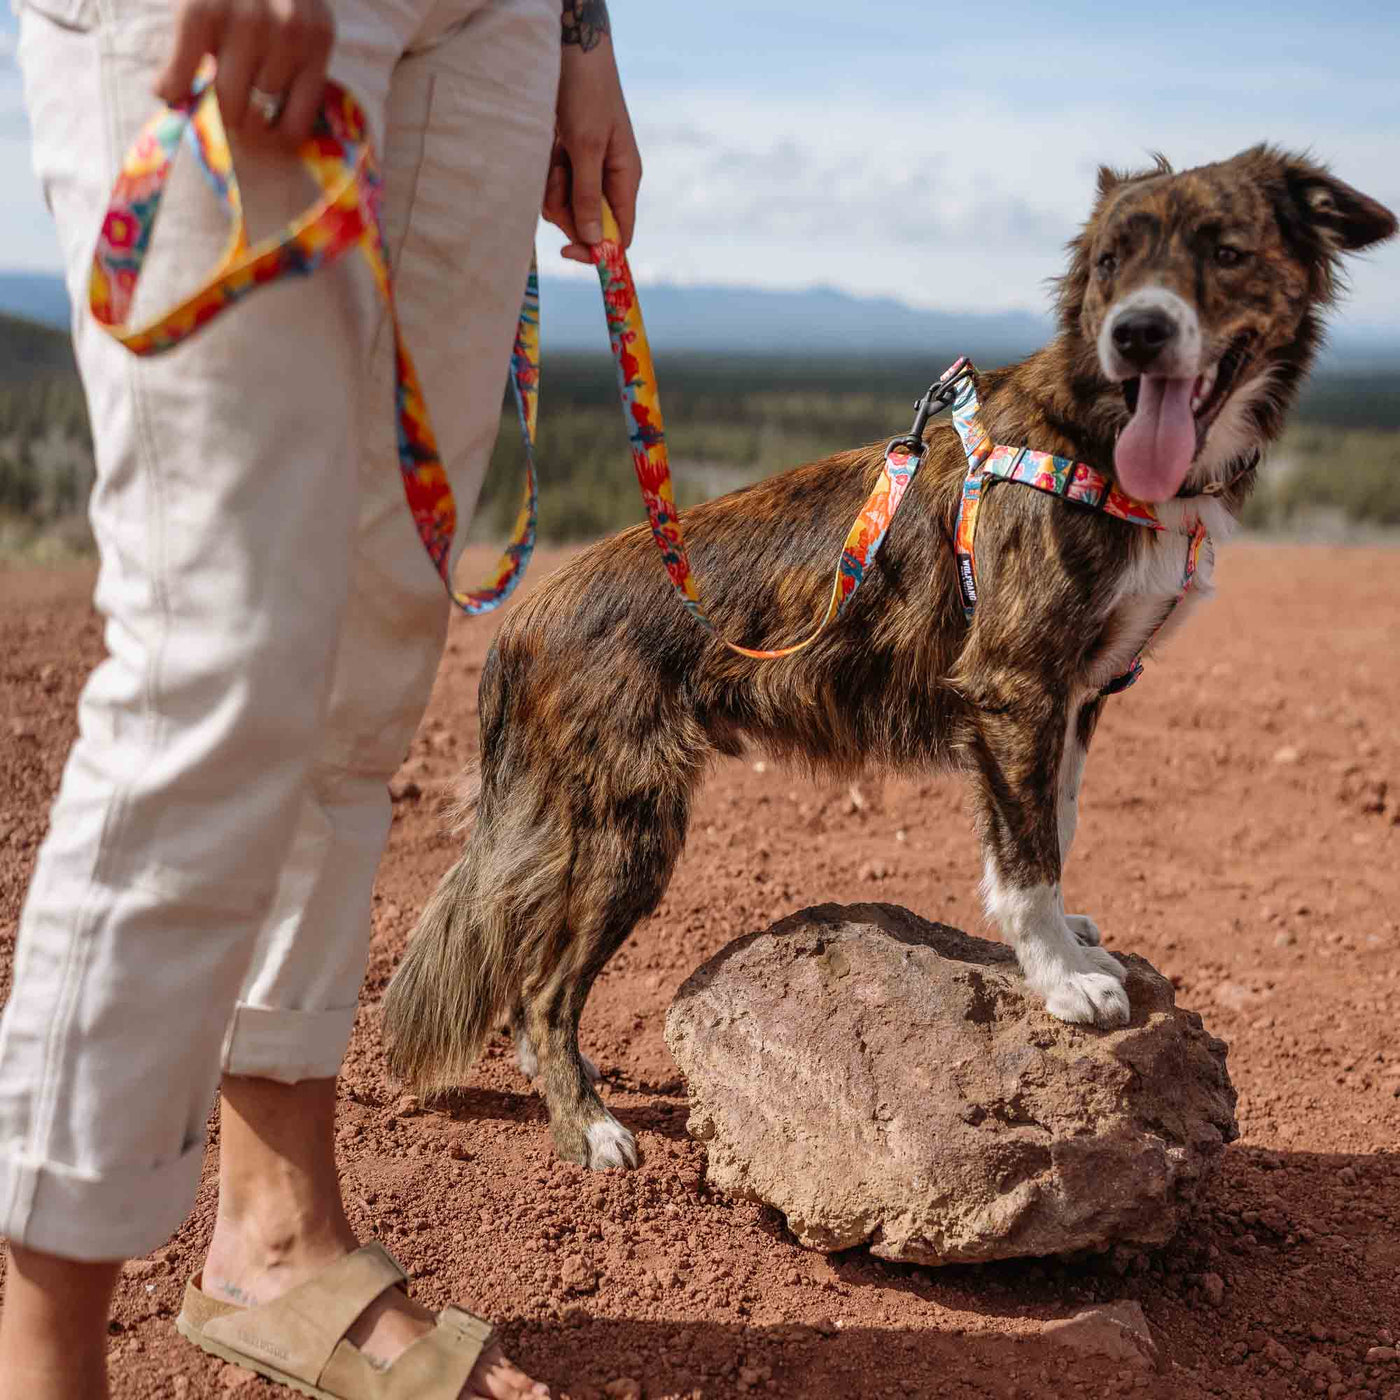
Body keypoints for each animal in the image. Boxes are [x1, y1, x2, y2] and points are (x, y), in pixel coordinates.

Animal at [380, 144, 1388, 1170]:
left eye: (1226, 250)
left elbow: (1054, 824)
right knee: (543, 990)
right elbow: (1029, 851)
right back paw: (589, 1126)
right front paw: (1061, 977)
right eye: (1110, 262)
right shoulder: (1014, 686)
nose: (1136, 334)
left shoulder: (1073, 697)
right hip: (629, 824)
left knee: (521, 976)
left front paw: (1068, 939)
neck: (1096, 435)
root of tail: (528, 615)